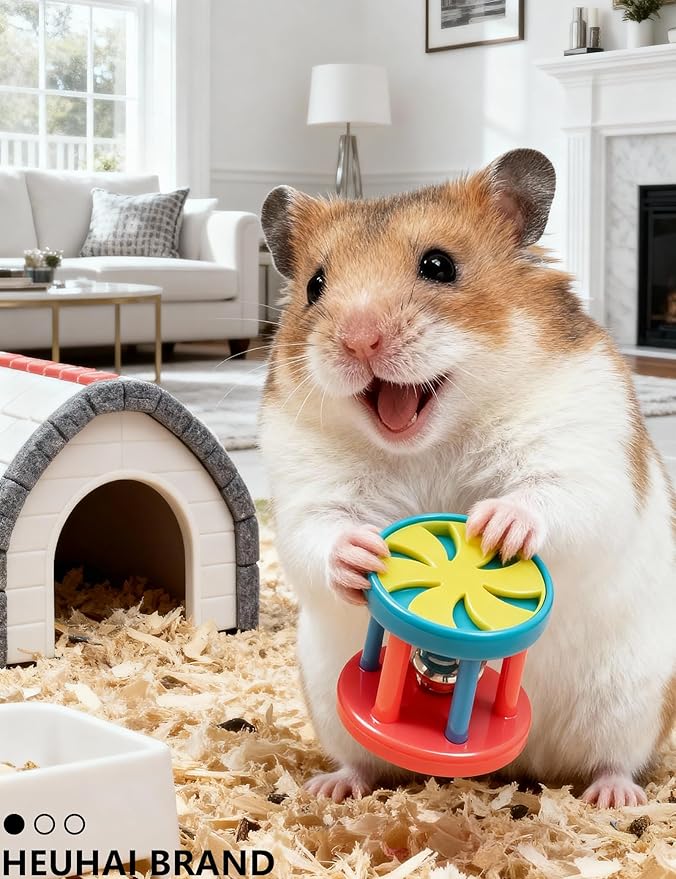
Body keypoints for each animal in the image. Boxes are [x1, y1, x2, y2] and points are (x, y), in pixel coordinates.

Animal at [258, 149, 676, 806]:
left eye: (439, 265)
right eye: (314, 286)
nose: (357, 339)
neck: (430, 442)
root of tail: (511, 764)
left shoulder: (583, 449)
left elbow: (558, 496)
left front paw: (495, 527)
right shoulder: (307, 485)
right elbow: (319, 535)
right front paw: (364, 555)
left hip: (634, 698)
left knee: (614, 760)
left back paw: (614, 800)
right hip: (331, 699)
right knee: (365, 762)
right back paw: (331, 788)